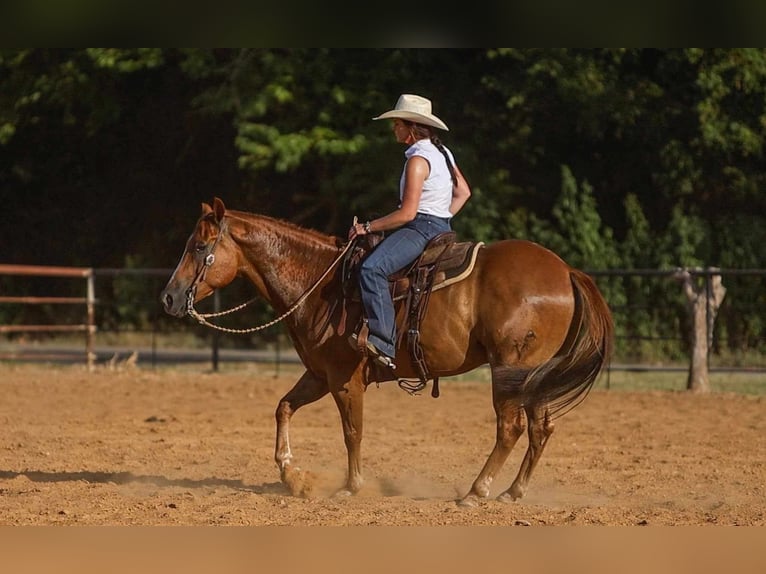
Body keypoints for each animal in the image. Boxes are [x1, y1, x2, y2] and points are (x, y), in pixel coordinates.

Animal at [159, 198, 616, 508]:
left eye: (198, 247)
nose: (169, 297)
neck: (322, 283)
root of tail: (565, 271)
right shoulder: (320, 374)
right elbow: (283, 407)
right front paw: (292, 475)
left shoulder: (345, 379)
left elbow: (352, 431)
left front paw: (350, 486)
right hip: (534, 377)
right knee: (540, 430)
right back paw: (512, 491)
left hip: (510, 370)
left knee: (511, 429)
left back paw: (476, 491)